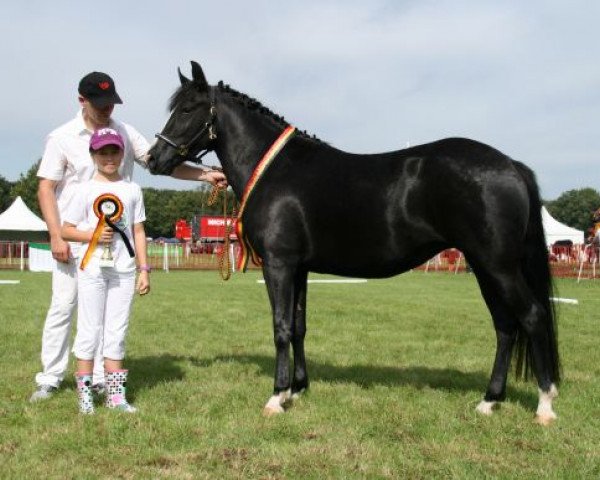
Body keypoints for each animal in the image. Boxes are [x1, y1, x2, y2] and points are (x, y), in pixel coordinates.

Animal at [148, 61, 560, 424]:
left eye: (188, 108)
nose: (154, 158)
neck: (275, 170)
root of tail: (511, 165)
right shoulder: (299, 268)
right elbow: (299, 326)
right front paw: (297, 389)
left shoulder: (279, 264)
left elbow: (281, 327)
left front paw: (276, 397)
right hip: (483, 266)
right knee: (505, 326)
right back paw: (489, 401)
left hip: (498, 266)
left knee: (532, 317)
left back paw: (544, 405)